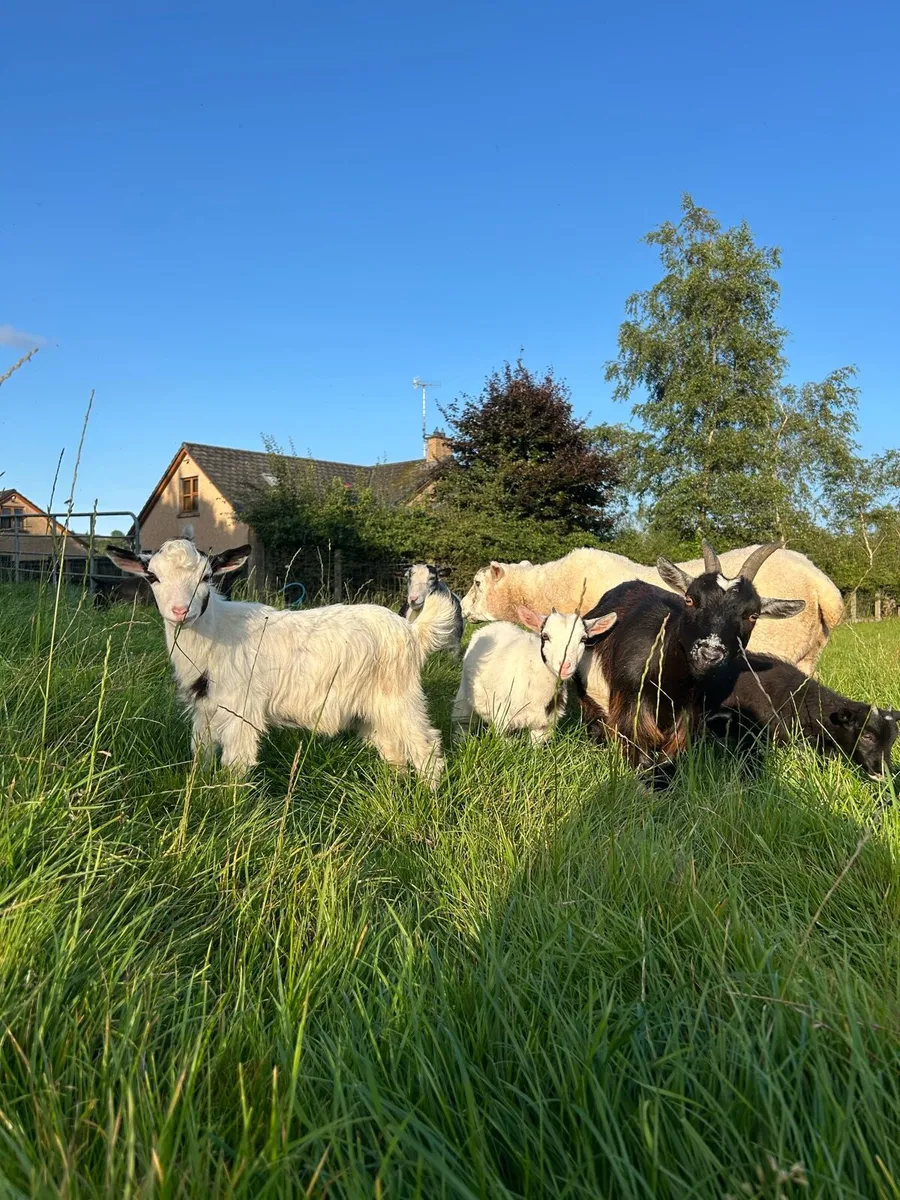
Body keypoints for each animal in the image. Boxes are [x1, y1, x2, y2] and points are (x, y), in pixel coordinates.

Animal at [106, 538, 453, 787]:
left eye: (206, 577)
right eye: (153, 577)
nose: (181, 611)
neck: (216, 634)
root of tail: (411, 630)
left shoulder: (241, 711)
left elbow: (235, 764)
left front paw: (229, 805)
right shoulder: (204, 709)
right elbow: (200, 754)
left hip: (400, 697)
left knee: (425, 747)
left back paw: (429, 797)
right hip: (371, 708)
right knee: (394, 751)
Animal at [453, 606, 617, 744]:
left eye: (583, 639)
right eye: (545, 636)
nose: (564, 666)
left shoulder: (544, 726)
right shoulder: (503, 721)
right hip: (465, 694)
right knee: (462, 721)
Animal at [574, 541, 805, 771]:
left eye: (753, 615)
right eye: (690, 599)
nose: (709, 654)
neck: (670, 686)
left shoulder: (687, 721)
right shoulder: (632, 714)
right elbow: (642, 763)